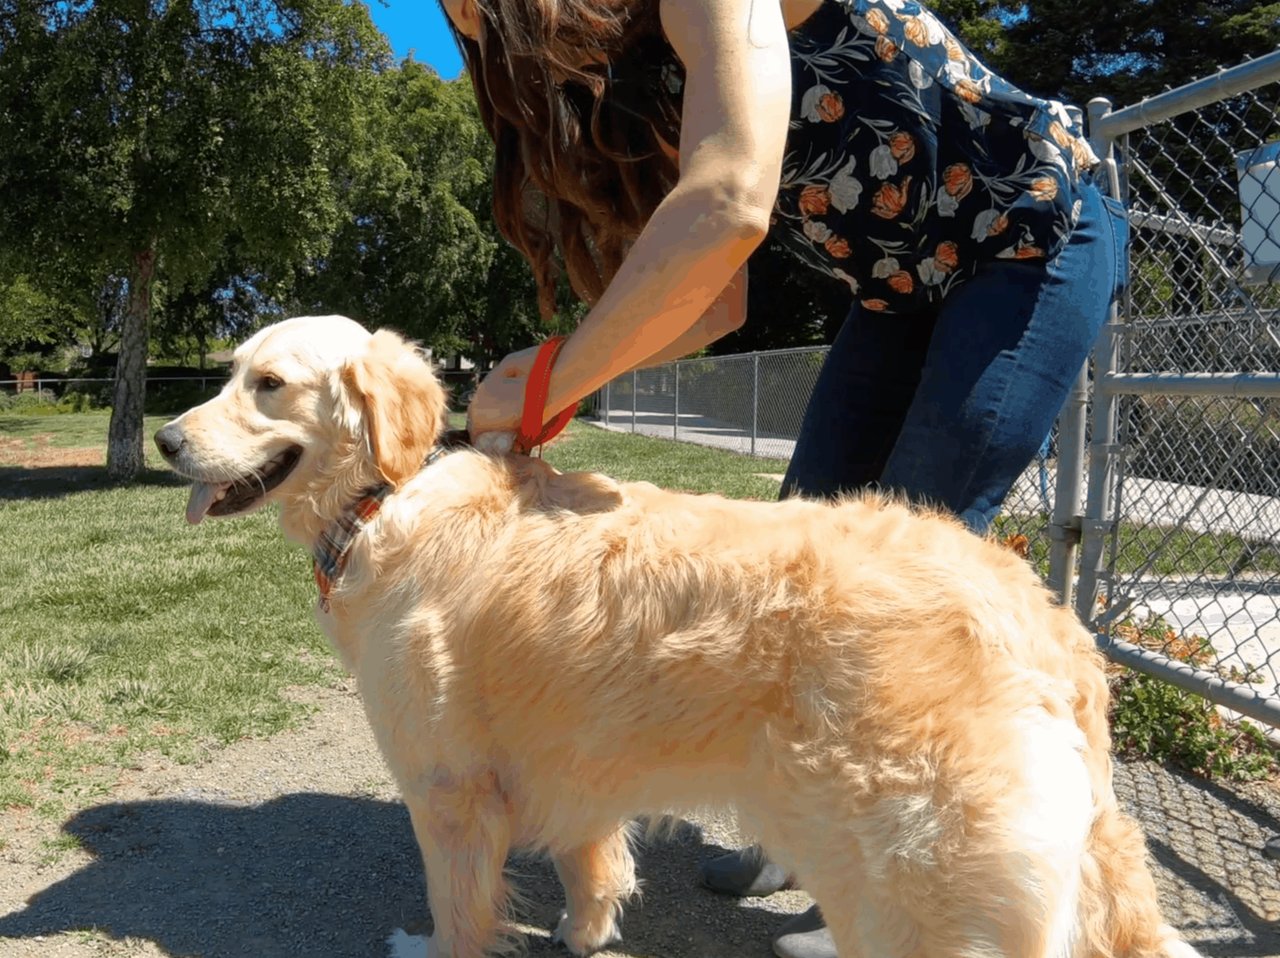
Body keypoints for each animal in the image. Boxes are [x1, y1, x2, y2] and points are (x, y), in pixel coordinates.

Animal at [154, 316, 1192, 957]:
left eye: (270, 384)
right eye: (228, 373)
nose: (164, 440)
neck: (383, 499)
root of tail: (1048, 624)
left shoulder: (447, 788)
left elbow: (458, 908)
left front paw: (433, 944)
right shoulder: (574, 761)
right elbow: (589, 861)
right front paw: (585, 931)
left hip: (913, 876)